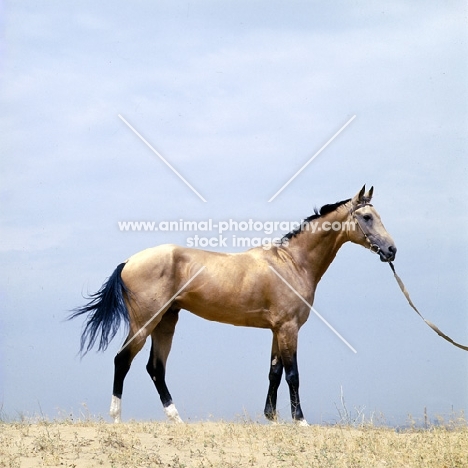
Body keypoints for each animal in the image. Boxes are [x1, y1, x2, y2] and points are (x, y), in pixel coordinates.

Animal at [71, 186, 396, 424]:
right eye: (367, 217)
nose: (391, 250)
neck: (292, 262)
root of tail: (129, 261)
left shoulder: (277, 330)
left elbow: (274, 373)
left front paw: (271, 418)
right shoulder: (289, 328)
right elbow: (292, 375)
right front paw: (300, 421)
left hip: (166, 321)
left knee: (155, 368)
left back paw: (176, 419)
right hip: (146, 322)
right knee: (123, 360)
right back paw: (117, 418)